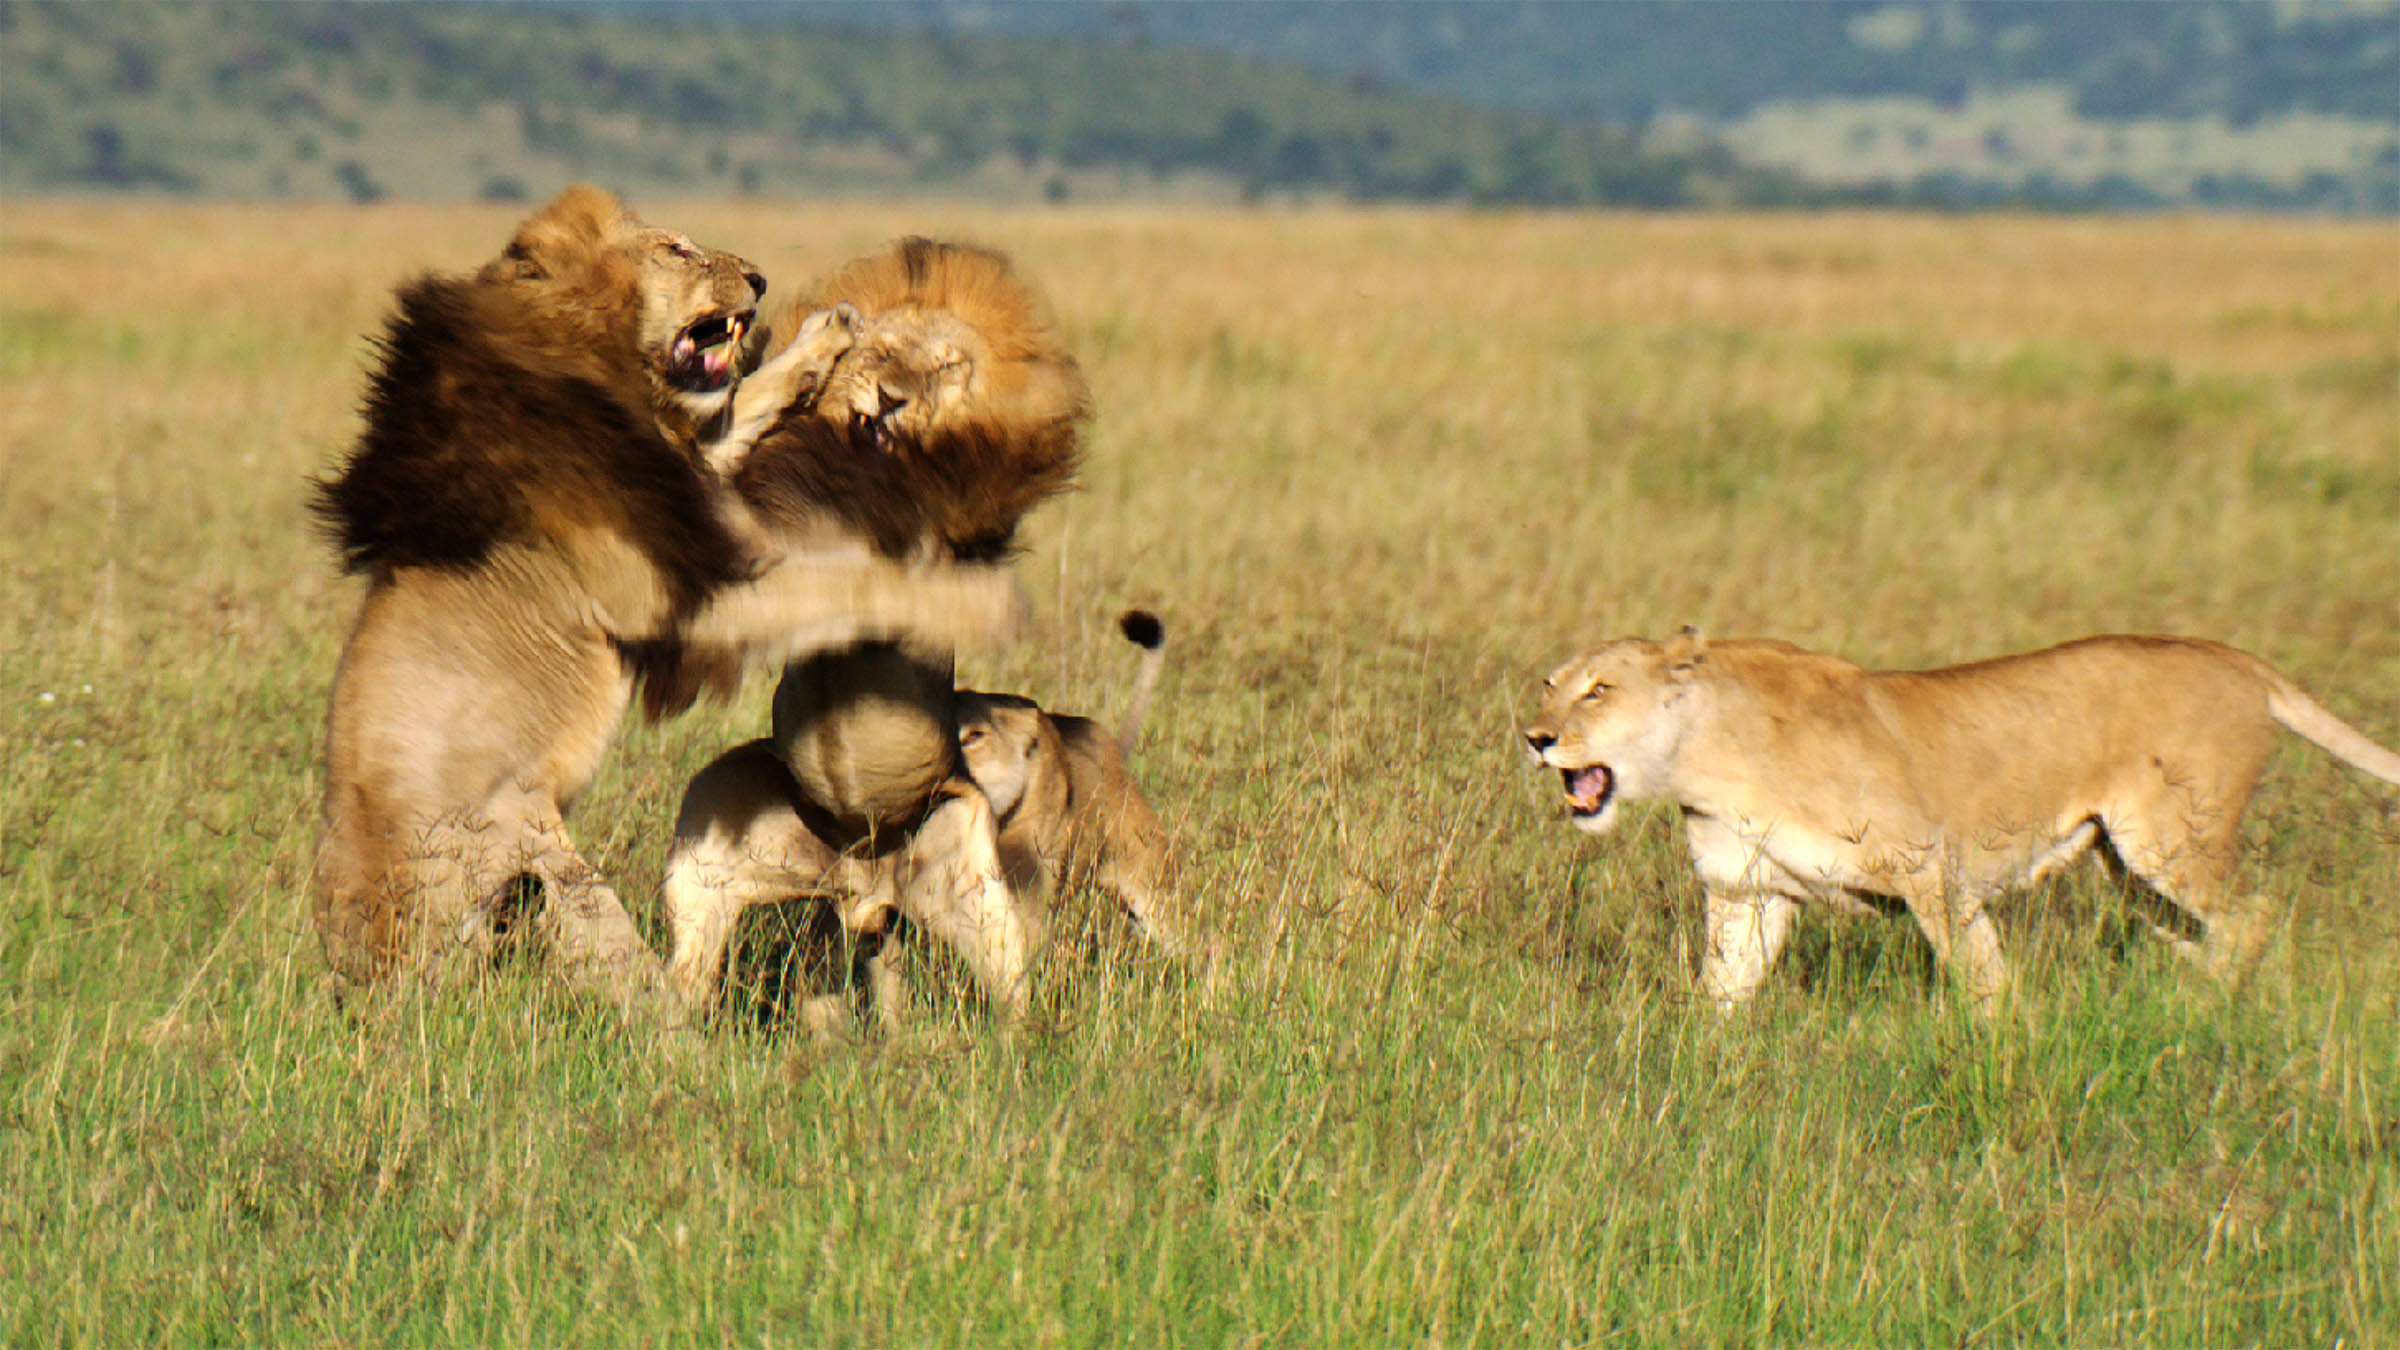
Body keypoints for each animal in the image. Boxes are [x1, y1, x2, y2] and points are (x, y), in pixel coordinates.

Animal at [310, 189, 1023, 1018]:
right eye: (678, 250)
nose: (759, 276)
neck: (599, 365)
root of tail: (353, 979)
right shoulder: (683, 593)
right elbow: (844, 583)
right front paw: (979, 599)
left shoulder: (690, 482)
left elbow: (741, 403)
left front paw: (825, 336)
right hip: (548, 868)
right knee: (642, 989)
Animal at [1521, 630, 2400, 1014]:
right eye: (1550, 685)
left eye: (1598, 690)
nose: (1534, 737)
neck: (1703, 761)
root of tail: (2234, 656)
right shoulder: (1749, 897)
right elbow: (1721, 993)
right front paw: (1703, 1069)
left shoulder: (1930, 871)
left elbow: (1981, 978)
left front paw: (2000, 1041)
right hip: (2126, 865)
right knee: (2213, 927)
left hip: (2173, 840)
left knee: (2257, 914)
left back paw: (2202, 1002)